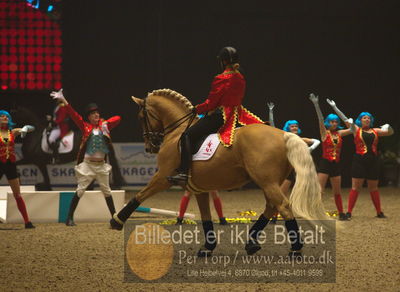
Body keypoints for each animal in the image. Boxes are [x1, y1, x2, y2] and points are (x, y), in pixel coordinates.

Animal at [110, 88, 328, 256]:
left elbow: (139, 196)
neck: (178, 131)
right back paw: (251, 243)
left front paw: (117, 220)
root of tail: (284, 135)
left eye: (141, 117)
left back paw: (295, 249)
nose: (149, 147)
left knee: (282, 206)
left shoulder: (163, 177)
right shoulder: (198, 188)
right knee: (271, 207)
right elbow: (206, 216)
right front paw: (208, 247)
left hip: (267, 182)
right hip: (269, 182)